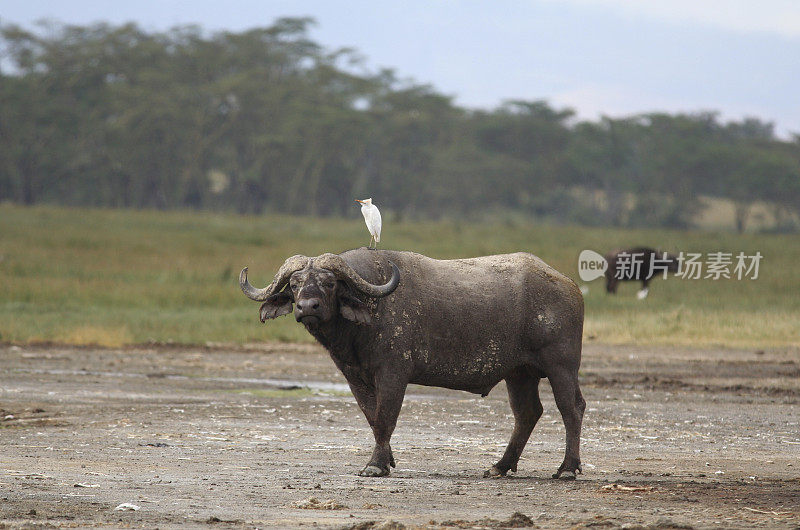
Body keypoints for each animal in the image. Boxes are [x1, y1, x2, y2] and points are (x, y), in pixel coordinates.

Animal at [241, 249, 584, 478]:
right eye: (295, 284)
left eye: (329, 283)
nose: (306, 307)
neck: (371, 315)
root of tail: (569, 285)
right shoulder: (355, 377)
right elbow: (372, 417)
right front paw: (386, 459)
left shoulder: (393, 374)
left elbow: (385, 418)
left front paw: (374, 466)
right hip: (519, 373)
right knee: (527, 413)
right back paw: (500, 466)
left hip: (562, 366)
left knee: (571, 408)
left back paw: (567, 469)